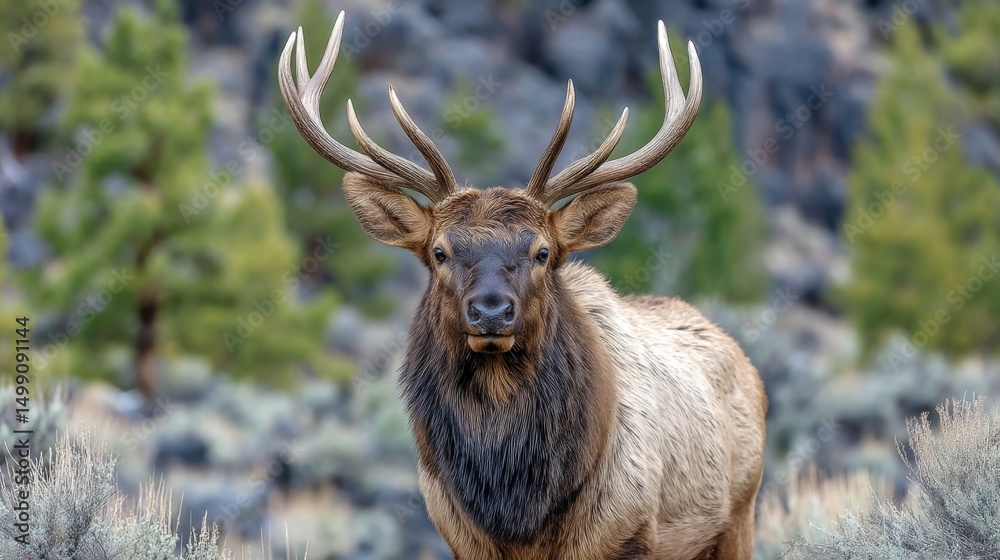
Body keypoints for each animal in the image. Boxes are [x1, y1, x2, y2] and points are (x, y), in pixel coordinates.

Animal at [278, 11, 767, 560]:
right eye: (440, 251)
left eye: (542, 252)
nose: (491, 311)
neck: (516, 511)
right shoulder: (460, 537)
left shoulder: (632, 531)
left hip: (739, 515)